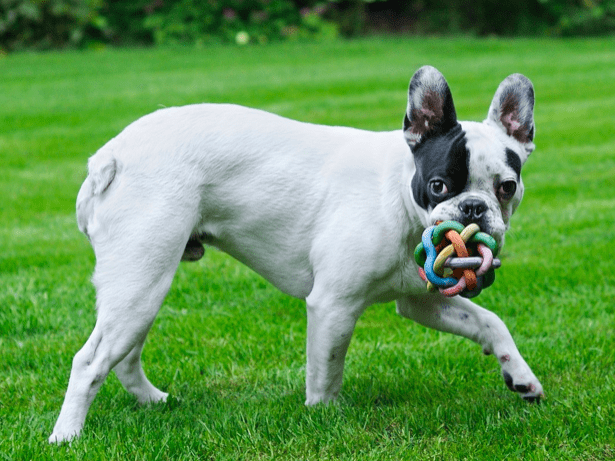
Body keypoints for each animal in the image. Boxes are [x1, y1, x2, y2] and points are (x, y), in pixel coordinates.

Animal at [50, 65, 548, 442]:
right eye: (439, 185)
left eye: (507, 187)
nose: (473, 209)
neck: (398, 197)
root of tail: (110, 156)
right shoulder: (333, 306)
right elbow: (327, 368)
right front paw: (324, 416)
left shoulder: (419, 300)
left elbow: (488, 321)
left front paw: (520, 375)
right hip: (142, 280)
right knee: (90, 361)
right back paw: (67, 436)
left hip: (142, 288)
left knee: (124, 355)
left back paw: (153, 401)